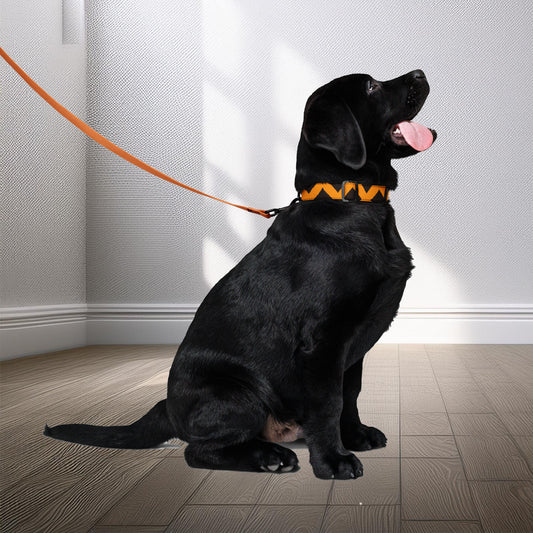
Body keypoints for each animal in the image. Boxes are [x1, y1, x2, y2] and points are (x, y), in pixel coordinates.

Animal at [44, 68, 436, 480]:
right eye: (371, 87)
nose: (420, 73)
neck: (351, 199)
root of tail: (168, 407)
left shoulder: (354, 341)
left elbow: (350, 394)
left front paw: (355, 436)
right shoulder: (324, 340)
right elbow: (329, 402)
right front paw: (333, 460)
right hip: (238, 391)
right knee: (199, 451)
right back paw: (270, 457)